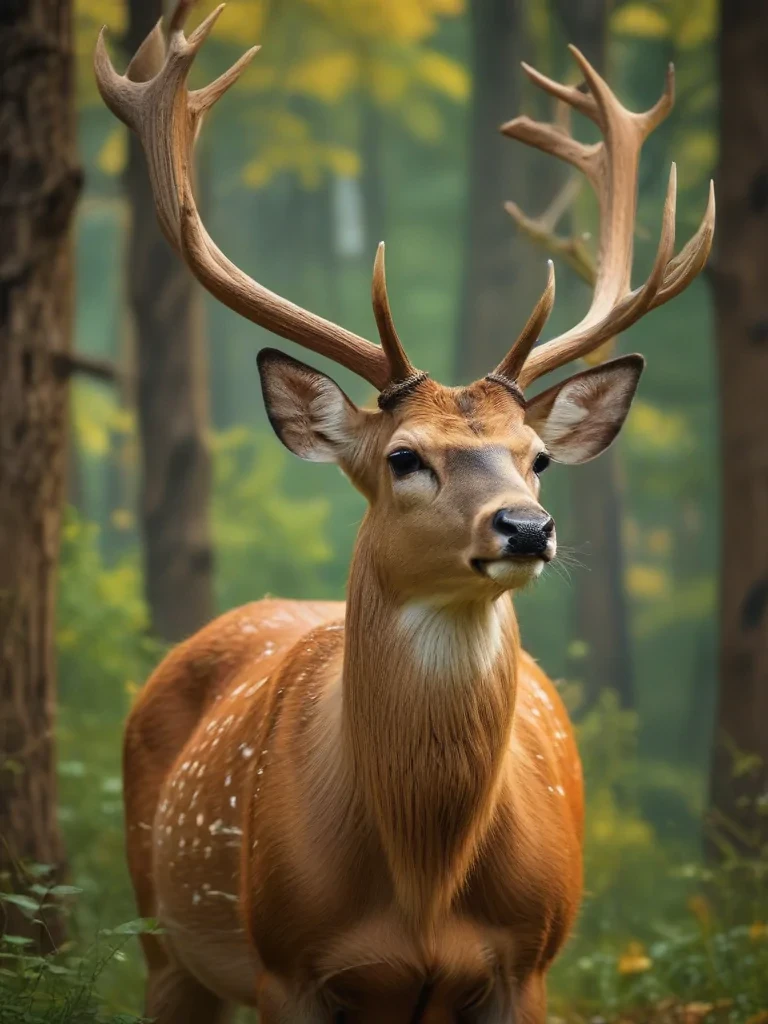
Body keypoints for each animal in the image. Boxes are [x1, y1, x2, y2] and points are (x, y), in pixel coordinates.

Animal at [94, 6, 714, 1022]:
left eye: (539, 458)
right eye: (403, 457)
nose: (526, 528)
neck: (423, 886)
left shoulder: (531, 964)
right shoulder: (286, 965)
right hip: (162, 943)